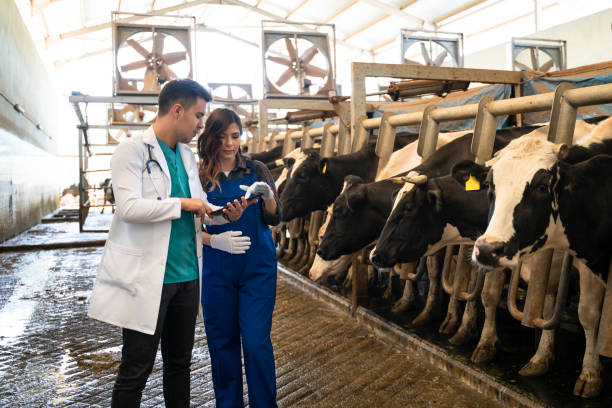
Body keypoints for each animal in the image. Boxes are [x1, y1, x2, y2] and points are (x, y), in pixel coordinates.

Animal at [464, 116, 612, 396]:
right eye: (489, 185)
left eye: (543, 186)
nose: (487, 250)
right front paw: (540, 358)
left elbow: (587, 314)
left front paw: (589, 376)